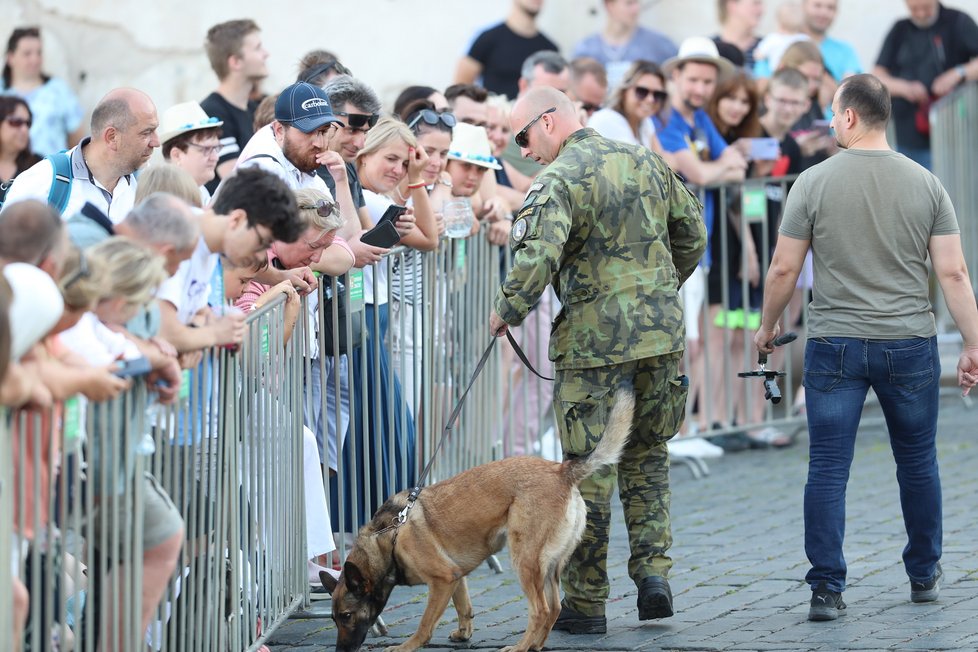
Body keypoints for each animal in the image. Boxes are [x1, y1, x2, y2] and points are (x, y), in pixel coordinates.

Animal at [320, 388, 632, 652]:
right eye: (333, 619)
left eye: (346, 615)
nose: (340, 651)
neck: (389, 536)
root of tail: (561, 470)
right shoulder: (455, 576)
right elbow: (464, 606)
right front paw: (464, 633)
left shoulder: (442, 579)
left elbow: (425, 624)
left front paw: (407, 646)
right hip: (549, 567)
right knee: (553, 609)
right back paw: (535, 645)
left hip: (524, 560)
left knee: (541, 610)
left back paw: (520, 647)